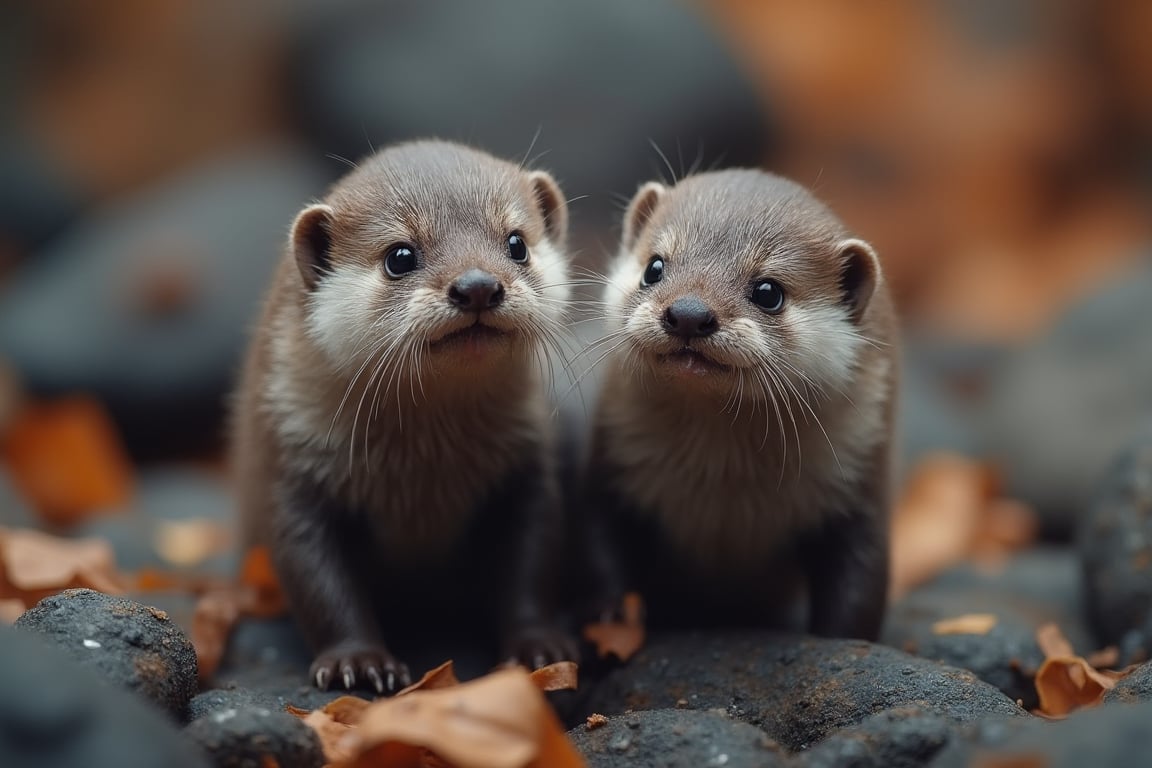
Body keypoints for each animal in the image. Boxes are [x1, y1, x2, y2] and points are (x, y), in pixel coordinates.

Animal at [231, 139, 576, 695]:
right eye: (400, 256)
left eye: (517, 243)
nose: (477, 285)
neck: (420, 478)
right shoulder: (289, 472)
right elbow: (316, 579)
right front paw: (357, 662)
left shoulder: (528, 469)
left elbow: (534, 562)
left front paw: (537, 647)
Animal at [580, 169, 893, 644]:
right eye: (654, 266)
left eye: (768, 291)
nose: (689, 312)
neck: (725, 492)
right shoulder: (612, 476)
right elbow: (600, 552)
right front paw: (612, 619)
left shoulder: (861, 491)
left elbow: (860, 588)